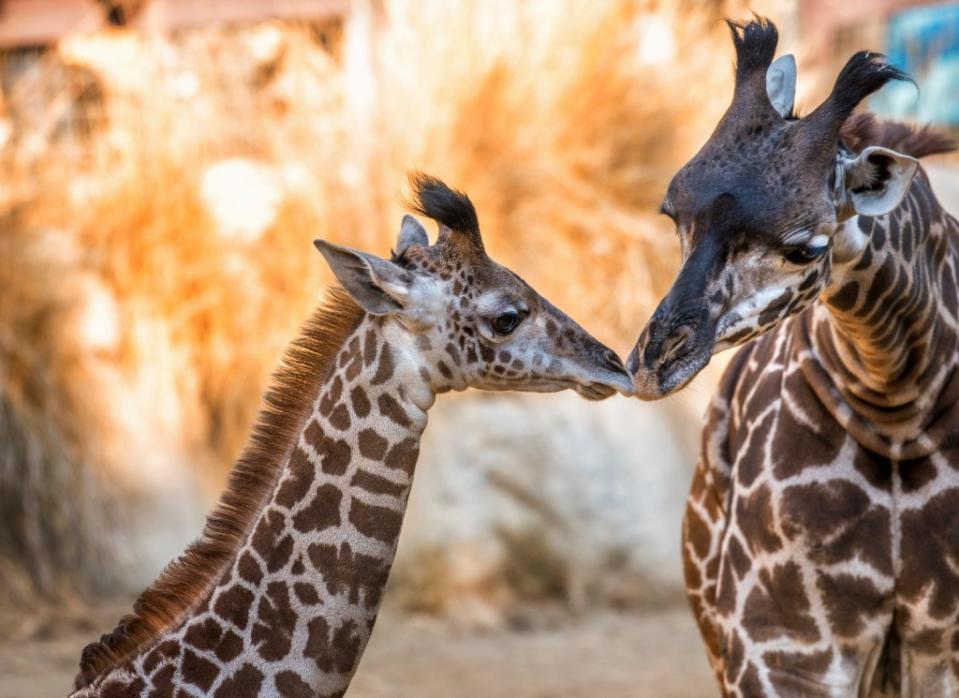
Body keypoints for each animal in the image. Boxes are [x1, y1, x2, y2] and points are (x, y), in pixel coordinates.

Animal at [628, 16, 959, 696]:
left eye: (805, 248)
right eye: (672, 213)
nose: (653, 364)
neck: (899, 411)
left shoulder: (939, 647)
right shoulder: (782, 647)